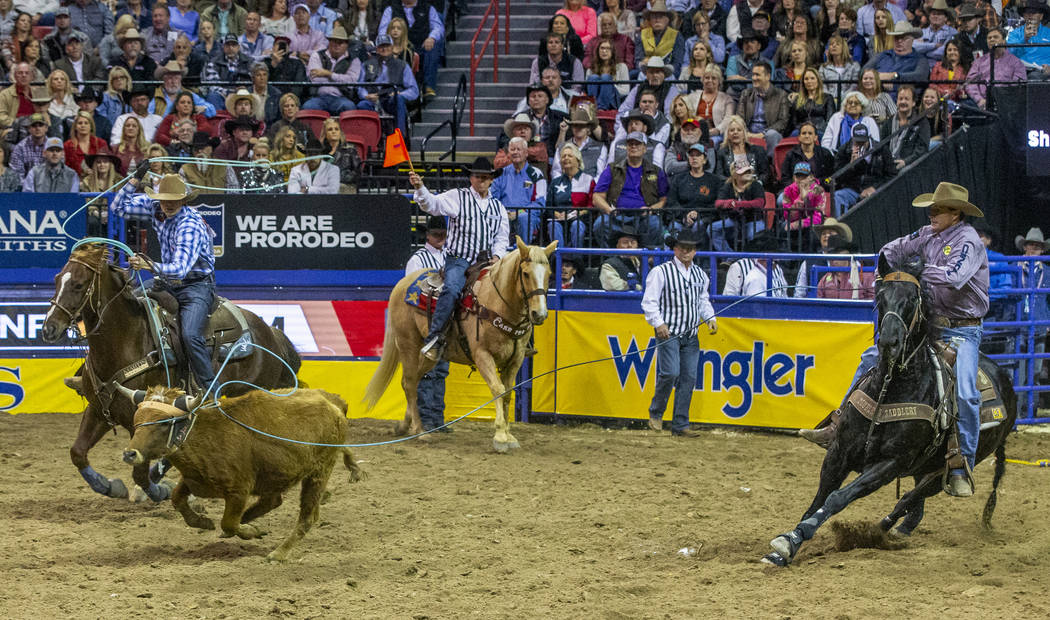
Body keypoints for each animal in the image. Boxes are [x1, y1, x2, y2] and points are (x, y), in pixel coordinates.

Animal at [40, 245, 302, 502]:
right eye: (56, 279)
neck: (125, 342)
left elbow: (139, 472)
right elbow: (77, 452)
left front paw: (157, 490)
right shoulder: (99, 410)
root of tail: (269, 330)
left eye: (78, 284)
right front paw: (109, 486)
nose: (49, 328)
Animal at [363, 238, 558, 451]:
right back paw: (421, 431)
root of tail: (402, 283)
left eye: (549, 274)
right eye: (525, 273)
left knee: (412, 380)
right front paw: (499, 437)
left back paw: (405, 426)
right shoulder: (482, 355)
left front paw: (509, 435)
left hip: (430, 355)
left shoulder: (516, 358)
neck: (496, 303)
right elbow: (497, 389)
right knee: (409, 382)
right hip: (408, 344)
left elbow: (507, 393)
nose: (539, 314)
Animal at [764, 254, 1016, 567]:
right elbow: (819, 498)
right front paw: (788, 543)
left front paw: (799, 536)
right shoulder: (838, 452)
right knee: (914, 502)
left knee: (910, 497)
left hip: (944, 470)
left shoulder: (890, 463)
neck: (890, 388)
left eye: (912, 299)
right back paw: (897, 529)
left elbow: (837, 498)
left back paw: (877, 531)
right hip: (924, 466)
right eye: (880, 297)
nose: (888, 343)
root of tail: (1007, 384)